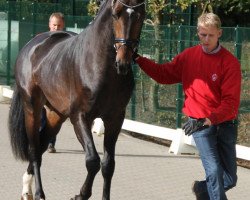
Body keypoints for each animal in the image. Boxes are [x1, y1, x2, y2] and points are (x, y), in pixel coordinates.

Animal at [8, 0, 146, 199]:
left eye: (141, 15)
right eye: (116, 14)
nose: (123, 63)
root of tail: (31, 45)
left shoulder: (115, 119)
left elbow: (108, 165)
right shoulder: (80, 117)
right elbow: (93, 161)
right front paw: (81, 194)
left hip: (55, 115)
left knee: (42, 145)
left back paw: (27, 188)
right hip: (32, 109)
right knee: (34, 150)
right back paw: (38, 192)